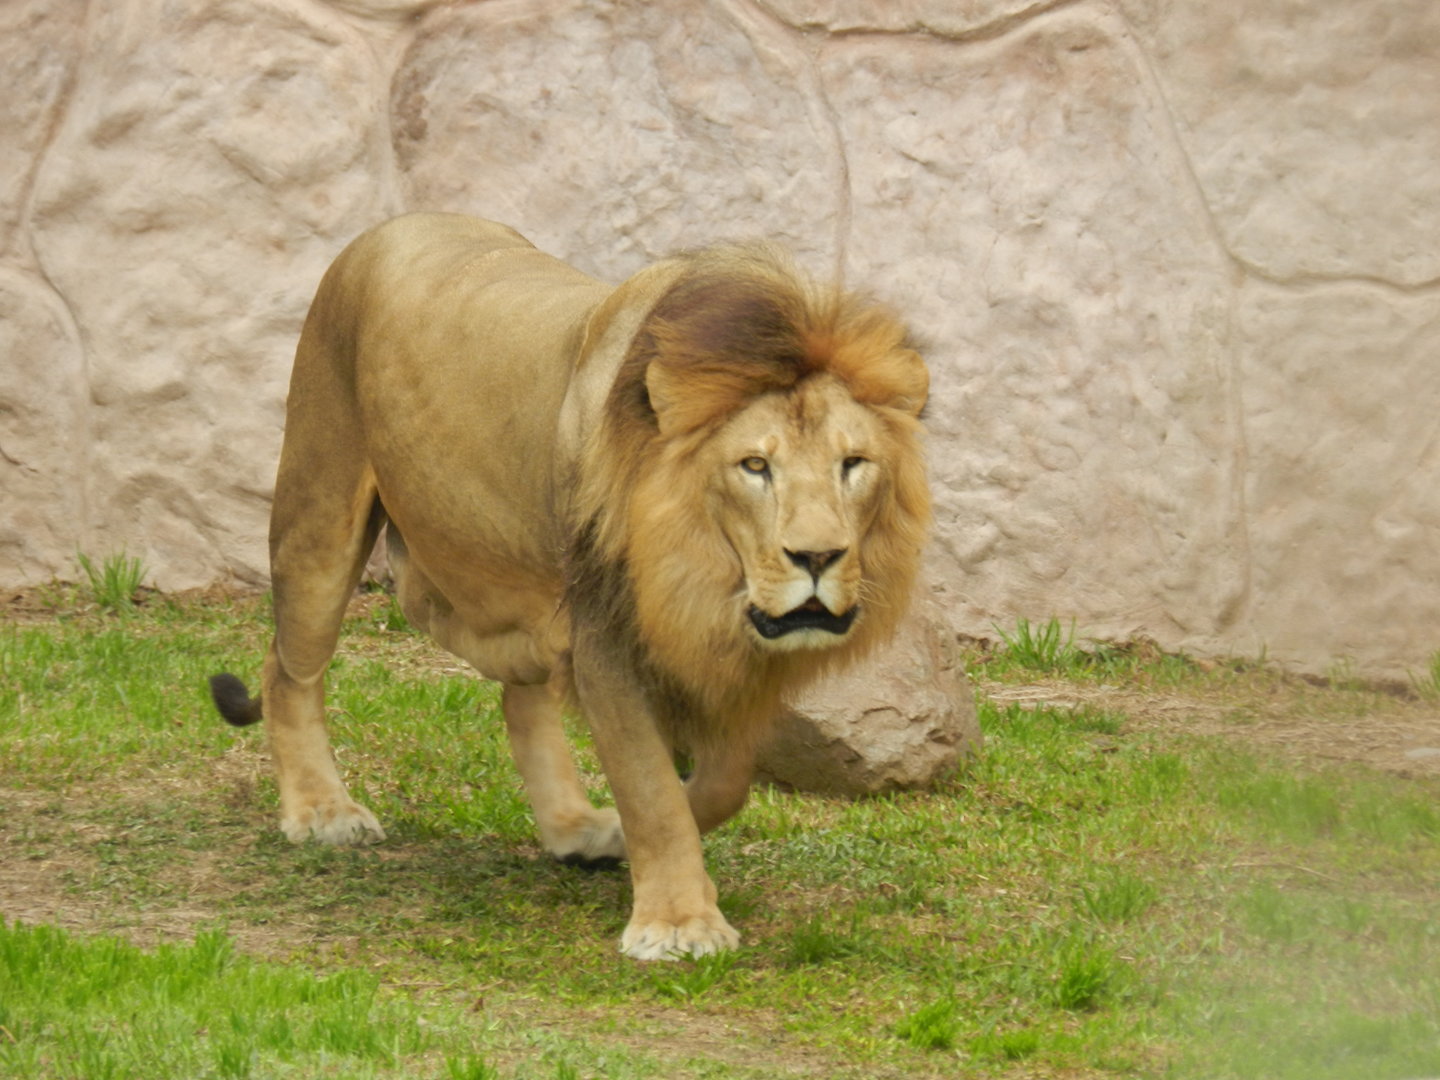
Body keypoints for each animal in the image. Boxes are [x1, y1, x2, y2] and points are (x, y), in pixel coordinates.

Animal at [209, 212, 930, 960]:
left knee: (514, 688)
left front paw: (615, 838)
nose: (817, 556)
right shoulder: (605, 637)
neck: (702, 581)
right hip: (320, 515)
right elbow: (652, 788)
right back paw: (322, 811)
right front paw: (678, 923)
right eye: (755, 466)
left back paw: (573, 828)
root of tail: (401, 221)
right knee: (288, 669)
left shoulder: (722, 662)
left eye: (854, 464)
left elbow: (723, 784)